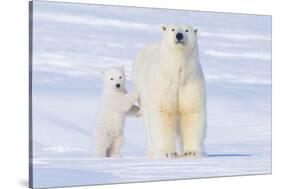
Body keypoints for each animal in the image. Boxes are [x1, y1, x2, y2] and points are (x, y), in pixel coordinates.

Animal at [131, 24, 206, 158]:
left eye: (187, 30)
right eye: (173, 29)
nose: (179, 35)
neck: (177, 74)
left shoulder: (191, 81)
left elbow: (191, 111)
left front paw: (191, 152)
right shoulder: (163, 82)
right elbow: (163, 112)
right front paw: (168, 153)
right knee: (148, 122)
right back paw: (151, 151)